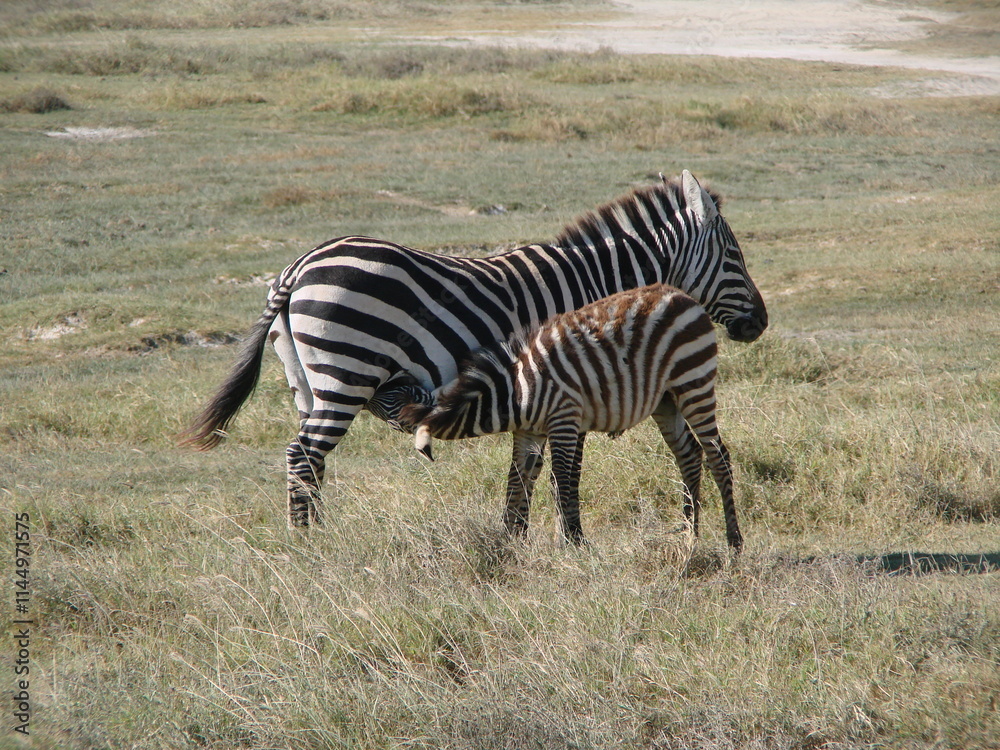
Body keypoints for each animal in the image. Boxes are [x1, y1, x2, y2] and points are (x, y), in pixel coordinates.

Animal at [398, 282, 744, 552]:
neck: (515, 393)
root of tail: (680, 294)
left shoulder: (563, 419)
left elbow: (561, 479)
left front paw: (567, 544)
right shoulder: (529, 433)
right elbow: (517, 479)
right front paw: (508, 540)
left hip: (693, 381)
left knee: (717, 455)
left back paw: (733, 542)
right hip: (666, 399)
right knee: (689, 454)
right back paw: (689, 537)